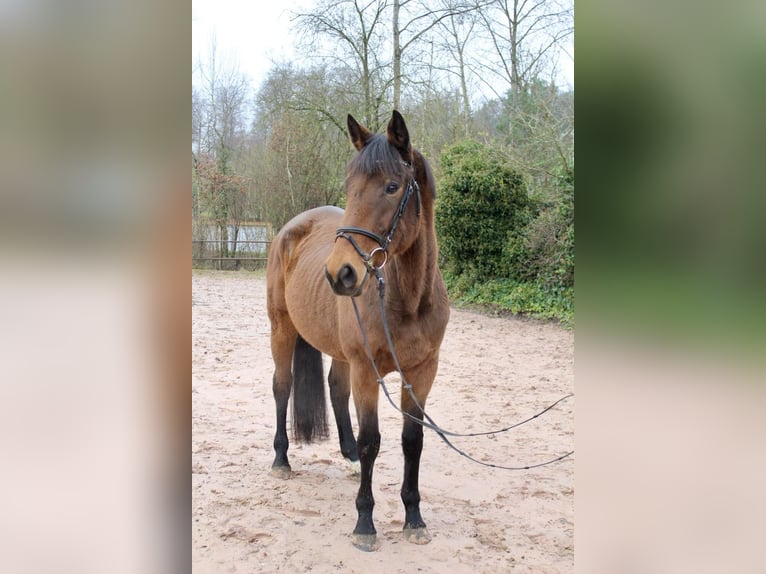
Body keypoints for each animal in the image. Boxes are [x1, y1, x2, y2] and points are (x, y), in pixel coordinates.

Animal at [268, 110, 452, 552]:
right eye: (350, 186)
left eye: (392, 186)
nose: (340, 273)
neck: (406, 300)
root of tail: (290, 229)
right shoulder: (368, 371)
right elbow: (374, 441)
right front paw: (365, 523)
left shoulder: (422, 372)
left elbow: (412, 441)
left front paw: (413, 517)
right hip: (281, 330)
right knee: (282, 387)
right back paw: (281, 460)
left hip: (340, 352)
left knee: (336, 389)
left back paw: (348, 457)